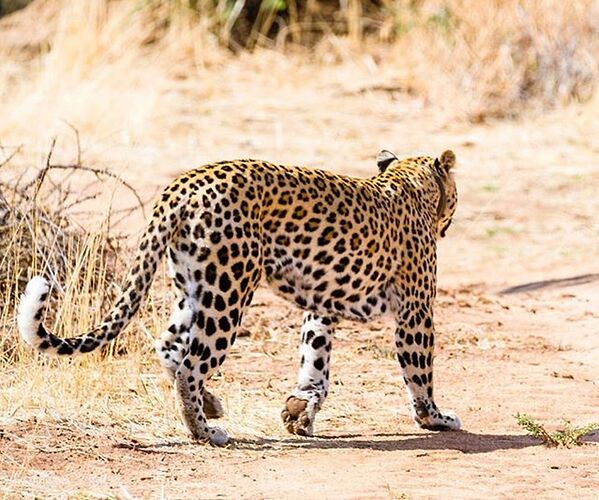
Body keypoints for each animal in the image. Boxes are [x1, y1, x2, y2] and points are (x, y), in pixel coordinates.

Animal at [17, 147, 460, 446]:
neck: (409, 180)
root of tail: (182, 184)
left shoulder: (321, 307)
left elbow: (315, 361)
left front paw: (300, 411)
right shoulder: (416, 309)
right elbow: (420, 370)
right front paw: (434, 418)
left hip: (196, 289)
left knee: (169, 347)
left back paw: (210, 404)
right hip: (228, 293)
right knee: (191, 365)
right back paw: (206, 431)